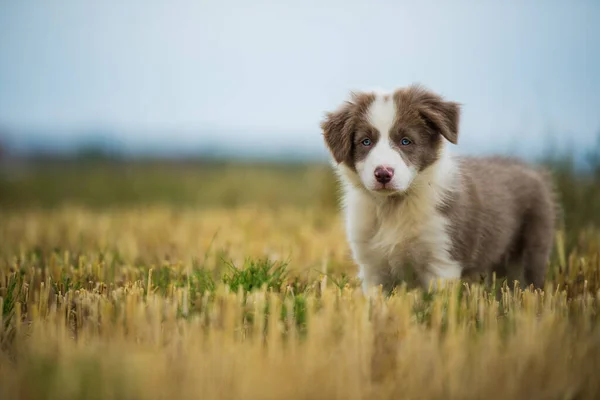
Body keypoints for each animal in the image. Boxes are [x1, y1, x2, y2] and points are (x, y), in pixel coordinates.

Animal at [322, 83, 556, 294]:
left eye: (405, 141)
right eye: (366, 142)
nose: (383, 174)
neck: (394, 206)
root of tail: (534, 171)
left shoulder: (442, 260)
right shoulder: (372, 267)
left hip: (531, 248)